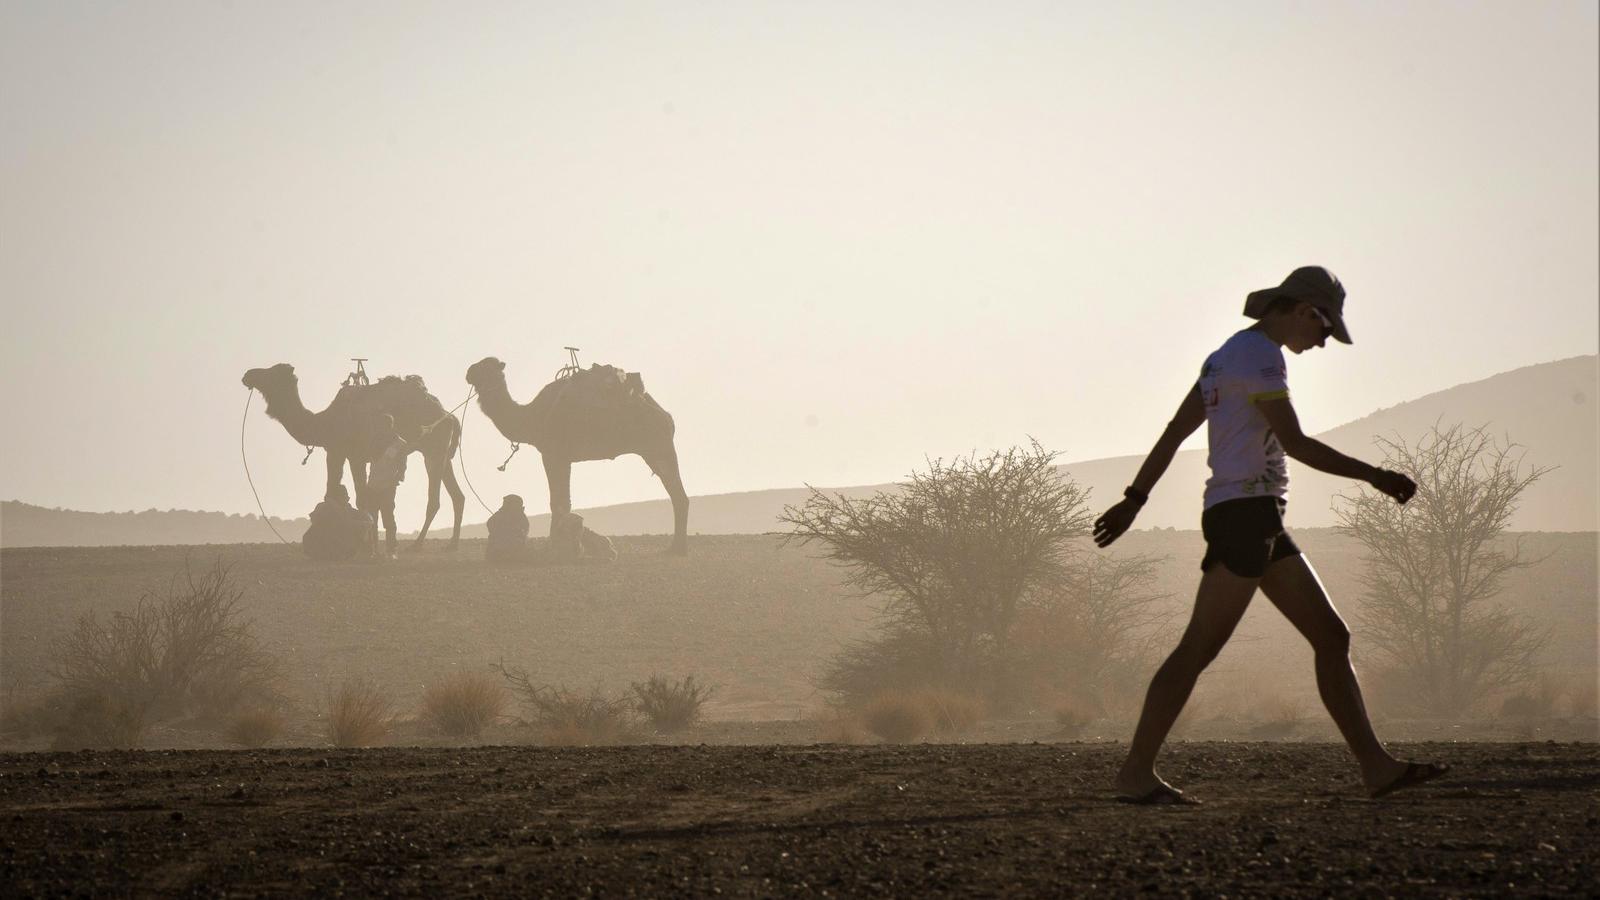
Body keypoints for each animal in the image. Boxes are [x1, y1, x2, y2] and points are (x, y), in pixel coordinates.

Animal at [236, 361, 467, 547]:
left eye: (272, 372)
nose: (248, 374)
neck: (325, 423)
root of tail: (449, 416)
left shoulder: (353, 455)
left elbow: (359, 499)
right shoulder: (337, 452)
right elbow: (337, 494)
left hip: (434, 449)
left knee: (434, 499)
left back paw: (417, 546)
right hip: (442, 454)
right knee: (458, 495)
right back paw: (452, 545)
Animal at [464, 357, 688, 554]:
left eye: (487, 366)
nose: (468, 372)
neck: (532, 417)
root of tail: (665, 414)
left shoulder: (553, 453)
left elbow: (558, 502)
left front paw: (556, 548)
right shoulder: (562, 456)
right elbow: (563, 501)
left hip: (659, 446)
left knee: (678, 495)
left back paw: (676, 549)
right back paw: (676, 548)